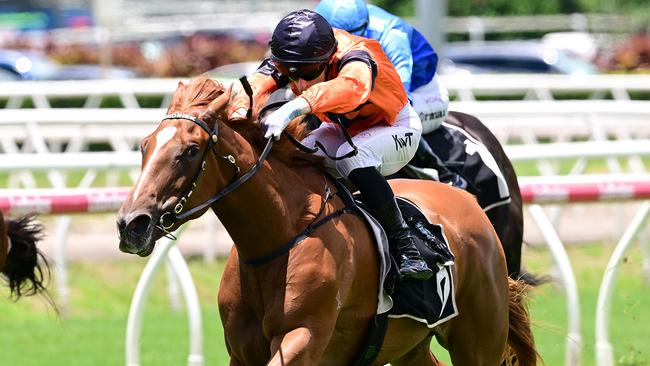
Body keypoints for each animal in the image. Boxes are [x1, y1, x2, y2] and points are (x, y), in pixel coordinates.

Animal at [117, 76, 536, 364]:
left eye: (190, 150)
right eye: (145, 146)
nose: (131, 224)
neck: (278, 240)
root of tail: (470, 205)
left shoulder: (304, 337)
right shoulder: (242, 351)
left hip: (478, 338)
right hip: (409, 346)